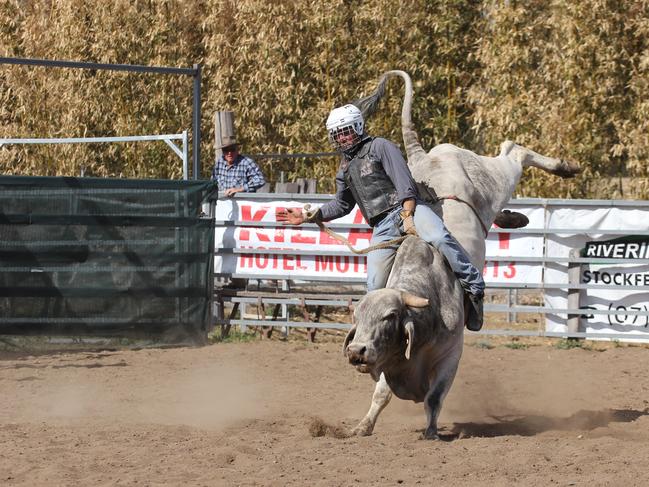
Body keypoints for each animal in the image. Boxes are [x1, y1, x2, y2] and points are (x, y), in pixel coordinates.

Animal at [342, 70, 580, 440]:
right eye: (357, 316)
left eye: (389, 317)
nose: (356, 351)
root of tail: (427, 157)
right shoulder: (389, 364)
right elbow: (381, 394)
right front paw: (362, 427)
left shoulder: (452, 354)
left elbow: (434, 398)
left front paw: (431, 432)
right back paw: (516, 218)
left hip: (496, 179)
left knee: (514, 151)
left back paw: (565, 167)